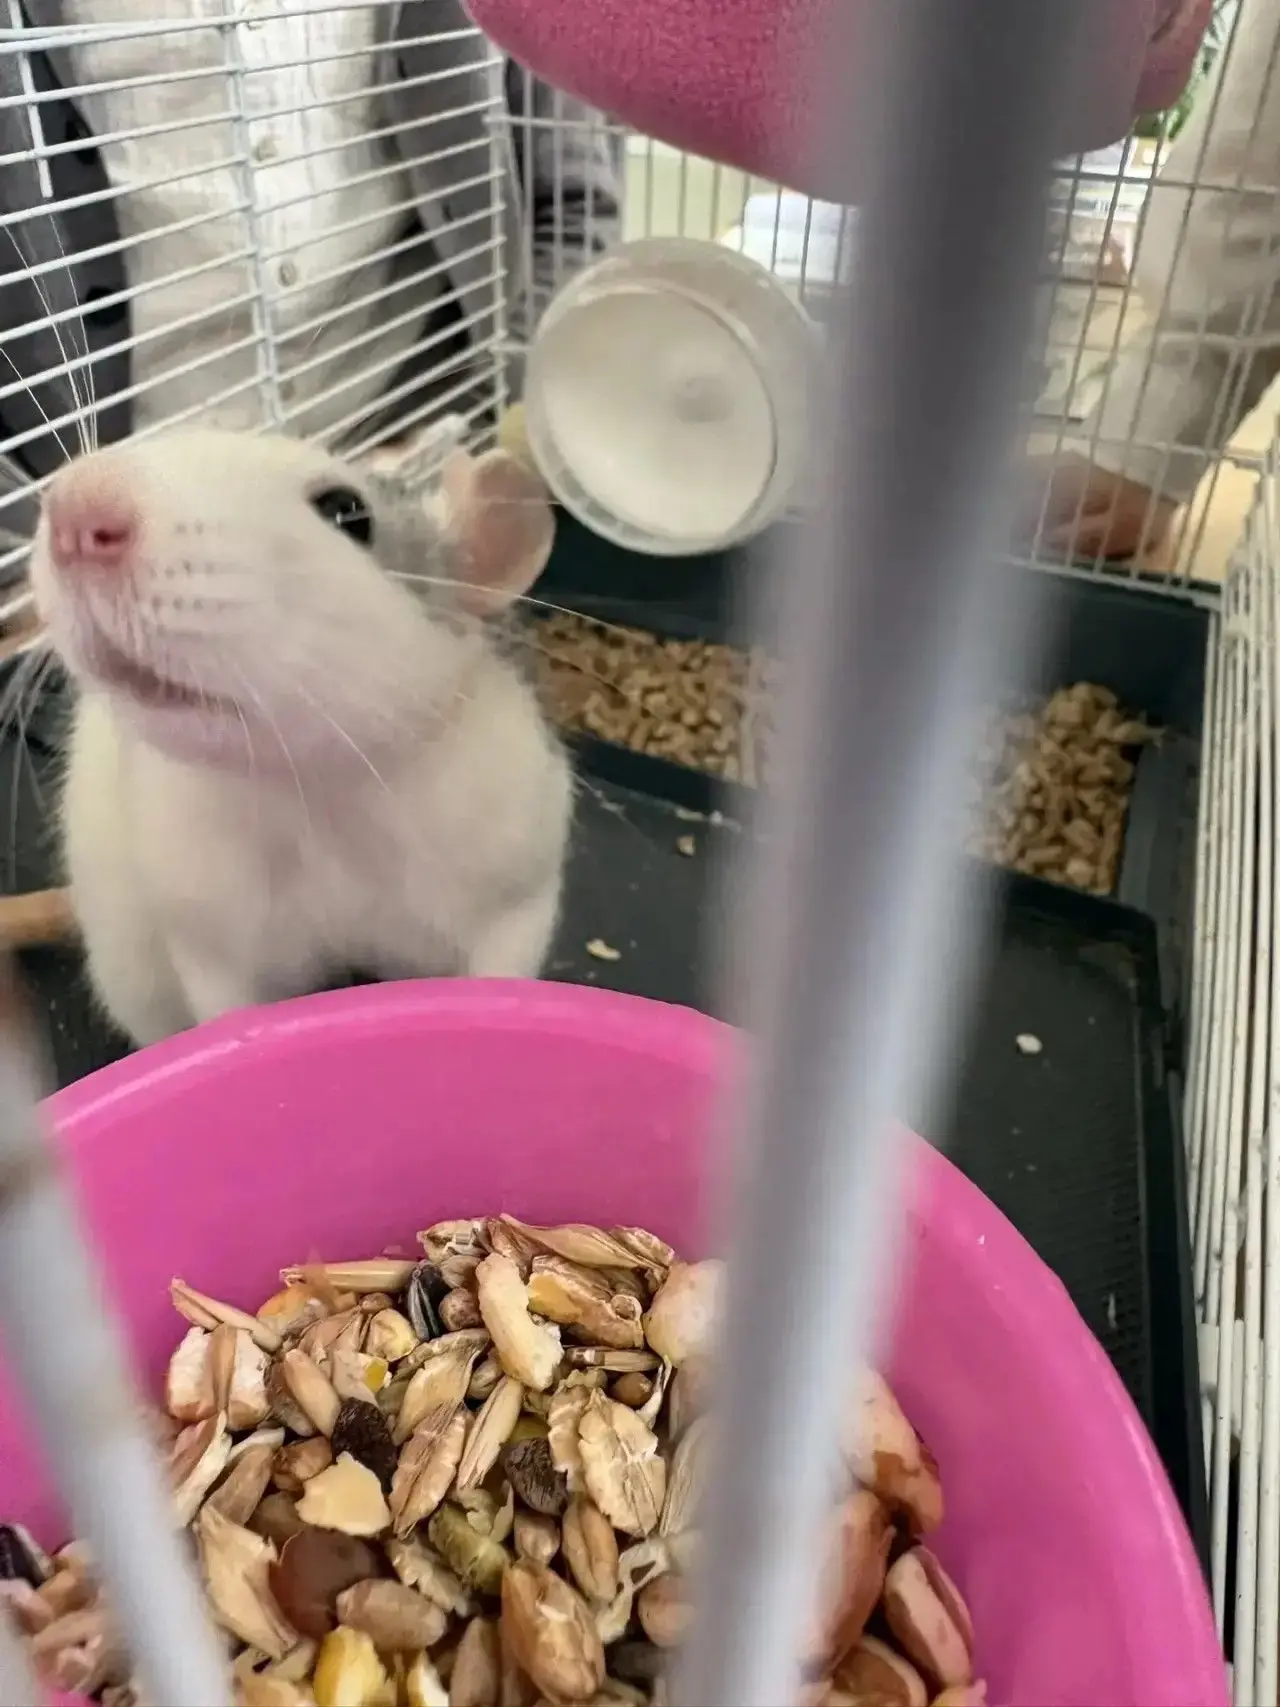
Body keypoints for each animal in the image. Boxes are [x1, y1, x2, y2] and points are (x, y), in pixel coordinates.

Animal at [28, 428, 573, 1046]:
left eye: (347, 511)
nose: (76, 510)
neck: (317, 788)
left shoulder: (514, 873)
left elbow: (506, 955)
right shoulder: (204, 924)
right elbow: (223, 999)